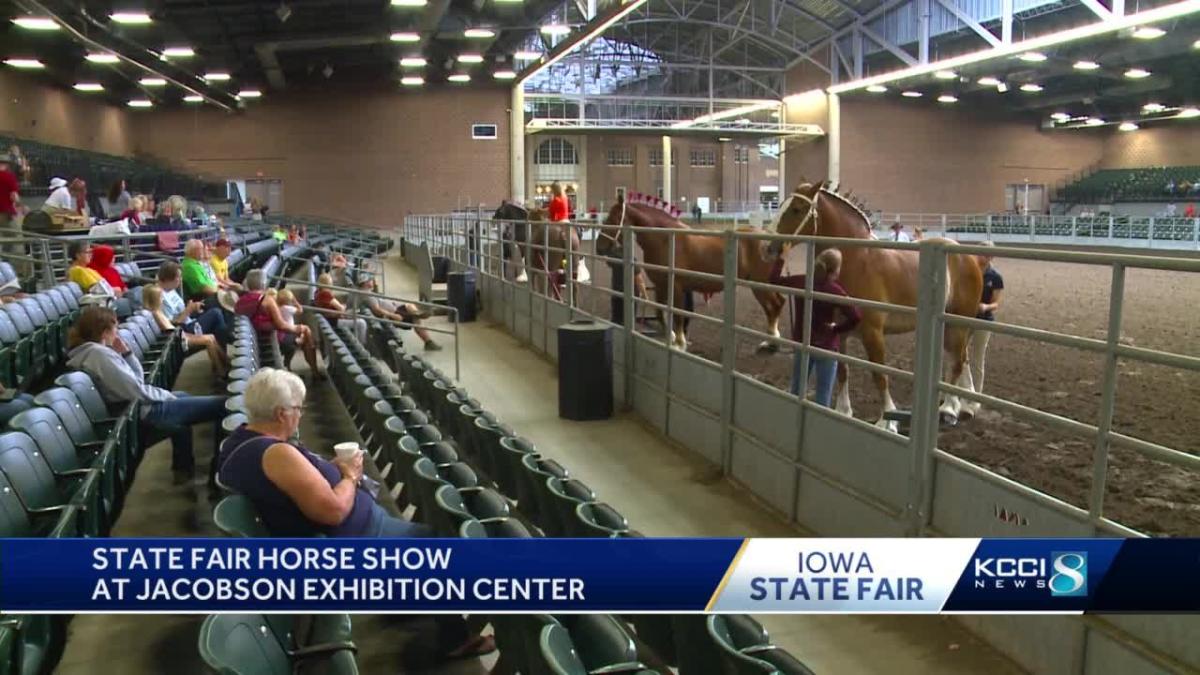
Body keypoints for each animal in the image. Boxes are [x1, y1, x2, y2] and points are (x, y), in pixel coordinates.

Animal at [592, 194, 782, 348]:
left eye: (613, 218)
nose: (599, 247)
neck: (665, 240)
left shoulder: (676, 287)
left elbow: (677, 314)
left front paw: (679, 342)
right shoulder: (661, 285)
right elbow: (661, 313)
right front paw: (671, 336)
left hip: (759, 284)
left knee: (774, 305)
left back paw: (772, 341)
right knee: (777, 304)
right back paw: (771, 340)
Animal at [777, 181, 984, 422]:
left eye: (797, 209)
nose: (769, 246)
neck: (858, 260)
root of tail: (969, 257)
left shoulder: (873, 333)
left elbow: (879, 374)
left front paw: (887, 420)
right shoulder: (839, 331)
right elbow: (843, 371)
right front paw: (843, 411)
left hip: (958, 323)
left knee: (958, 360)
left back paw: (949, 409)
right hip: (951, 326)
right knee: (963, 357)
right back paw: (967, 405)